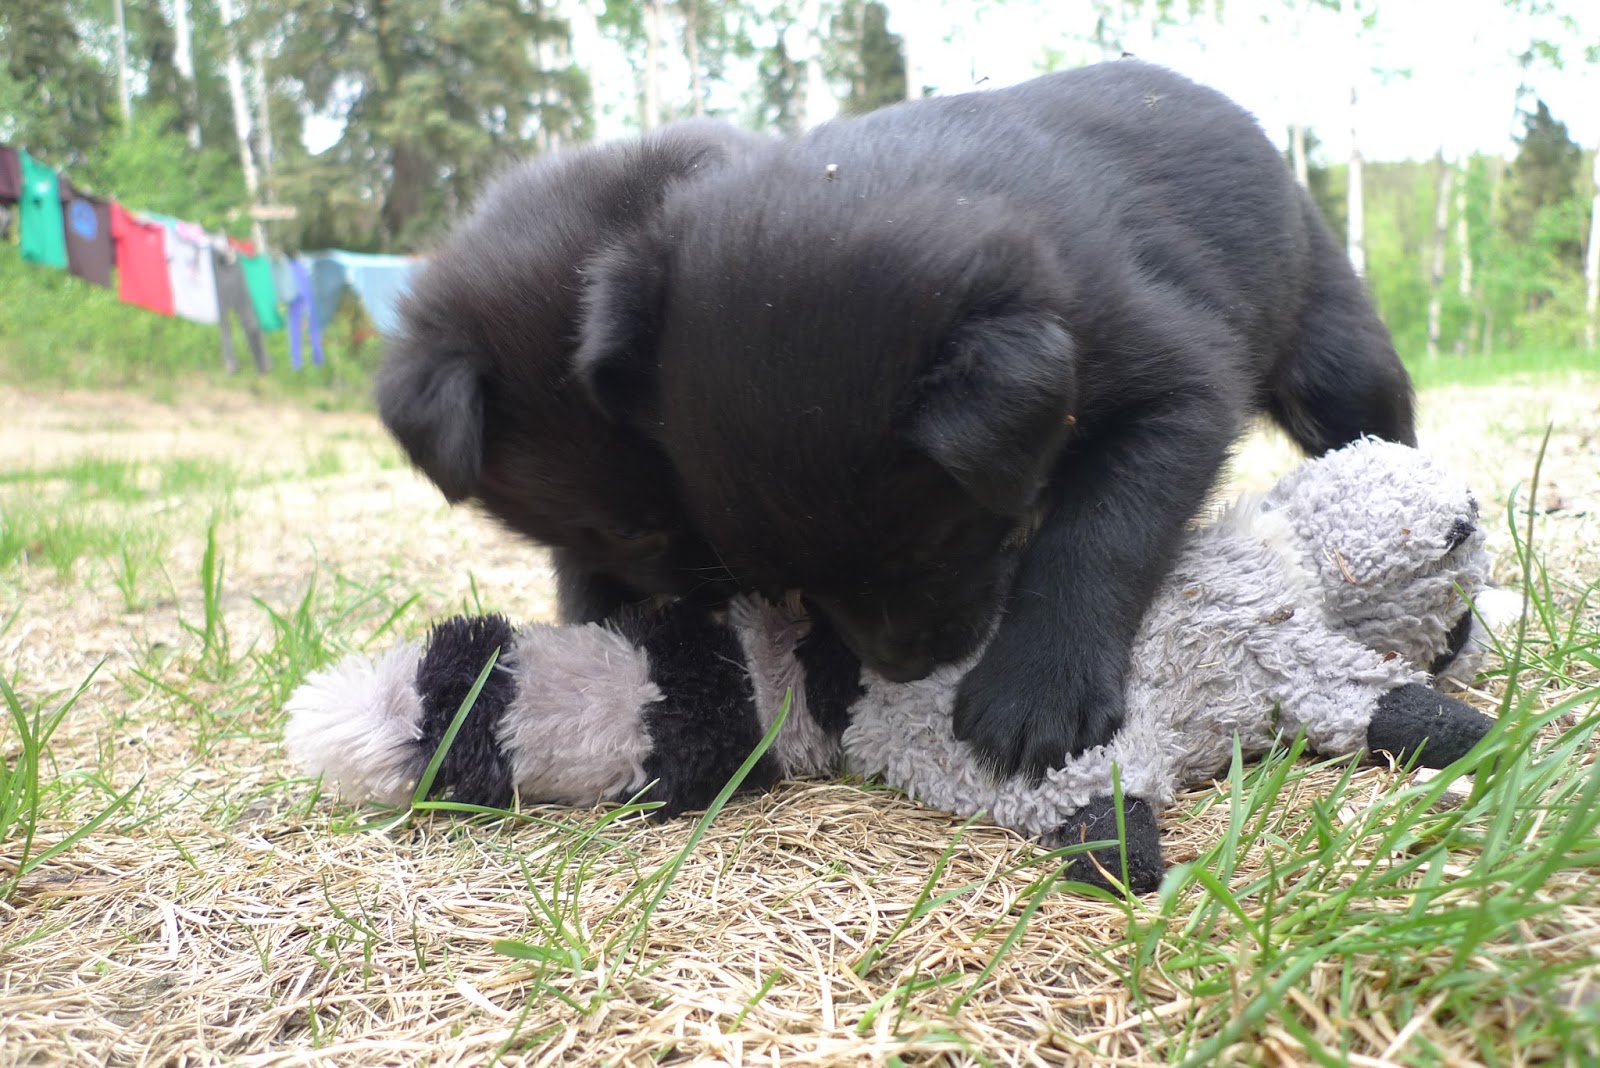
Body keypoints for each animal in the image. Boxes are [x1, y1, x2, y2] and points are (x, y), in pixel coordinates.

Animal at [572, 60, 1414, 777]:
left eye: (932, 543)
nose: (900, 667)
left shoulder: (1179, 387)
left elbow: (1096, 535)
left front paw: (1040, 686)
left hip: (1334, 352)